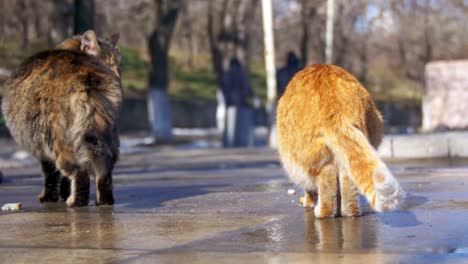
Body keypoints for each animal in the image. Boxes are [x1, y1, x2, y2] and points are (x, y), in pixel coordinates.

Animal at [1, 31, 121, 206]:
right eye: (112, 65)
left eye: (119, 67)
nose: (117, 75)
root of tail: (87, 76)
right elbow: (62, 178)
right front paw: (63, 194)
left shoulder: (41, 148)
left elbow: (51, 174)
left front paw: (49, 197)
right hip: (107, 135)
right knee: (105, 171)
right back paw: (104, 201)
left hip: (56, 138)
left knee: (79, 172)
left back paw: (76, 201)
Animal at [276, 64, 404, 219]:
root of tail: (336, 112)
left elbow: (309, 188)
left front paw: (308, 201)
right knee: (348, 181)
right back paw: (348, 211)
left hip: (305, 157)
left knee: (326, 180)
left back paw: (322, 211)